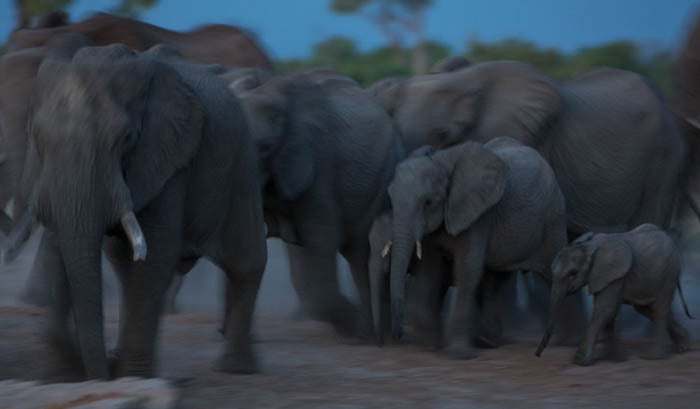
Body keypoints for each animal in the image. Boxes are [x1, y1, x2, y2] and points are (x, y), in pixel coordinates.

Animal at [8, 43, 267, 379]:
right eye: (37, 137)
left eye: (126, 139)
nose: (102, 370)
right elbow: (61, 243)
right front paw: (75, 372)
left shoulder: (168, 157)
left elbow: (154, 252)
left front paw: (128, 375)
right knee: (124, 263)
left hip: (240, 164)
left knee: (245, 261)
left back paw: (237, 369)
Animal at [233, 70, 404, 338]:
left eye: (265, 148)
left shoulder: (318, 166)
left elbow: (321, 241)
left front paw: (355, 330)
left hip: (383, 174)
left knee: (359, 254)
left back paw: (370, 333)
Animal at [384, 136, 568, 359]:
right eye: (391, 198)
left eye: (428, 202)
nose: (397, 336)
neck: (441, 160)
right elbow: (430, 273)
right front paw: (434, 345)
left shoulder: (479, 216)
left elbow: (467, 270)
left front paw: (457, 354)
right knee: (493, 281)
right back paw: (486, 341)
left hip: (553, 216)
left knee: (556, 274)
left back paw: (570, 343)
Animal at [536, 224, 693, 366]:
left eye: (572, 274)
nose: (537, 355)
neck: (589, 247)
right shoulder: (607, 276)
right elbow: (611, 312)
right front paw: (615, 359)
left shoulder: (611, 272)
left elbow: (604, 309)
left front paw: (579, 361)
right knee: (646, 309)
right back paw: (684, 347)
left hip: (668, 273)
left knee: (659, 309)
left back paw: (654, 357)